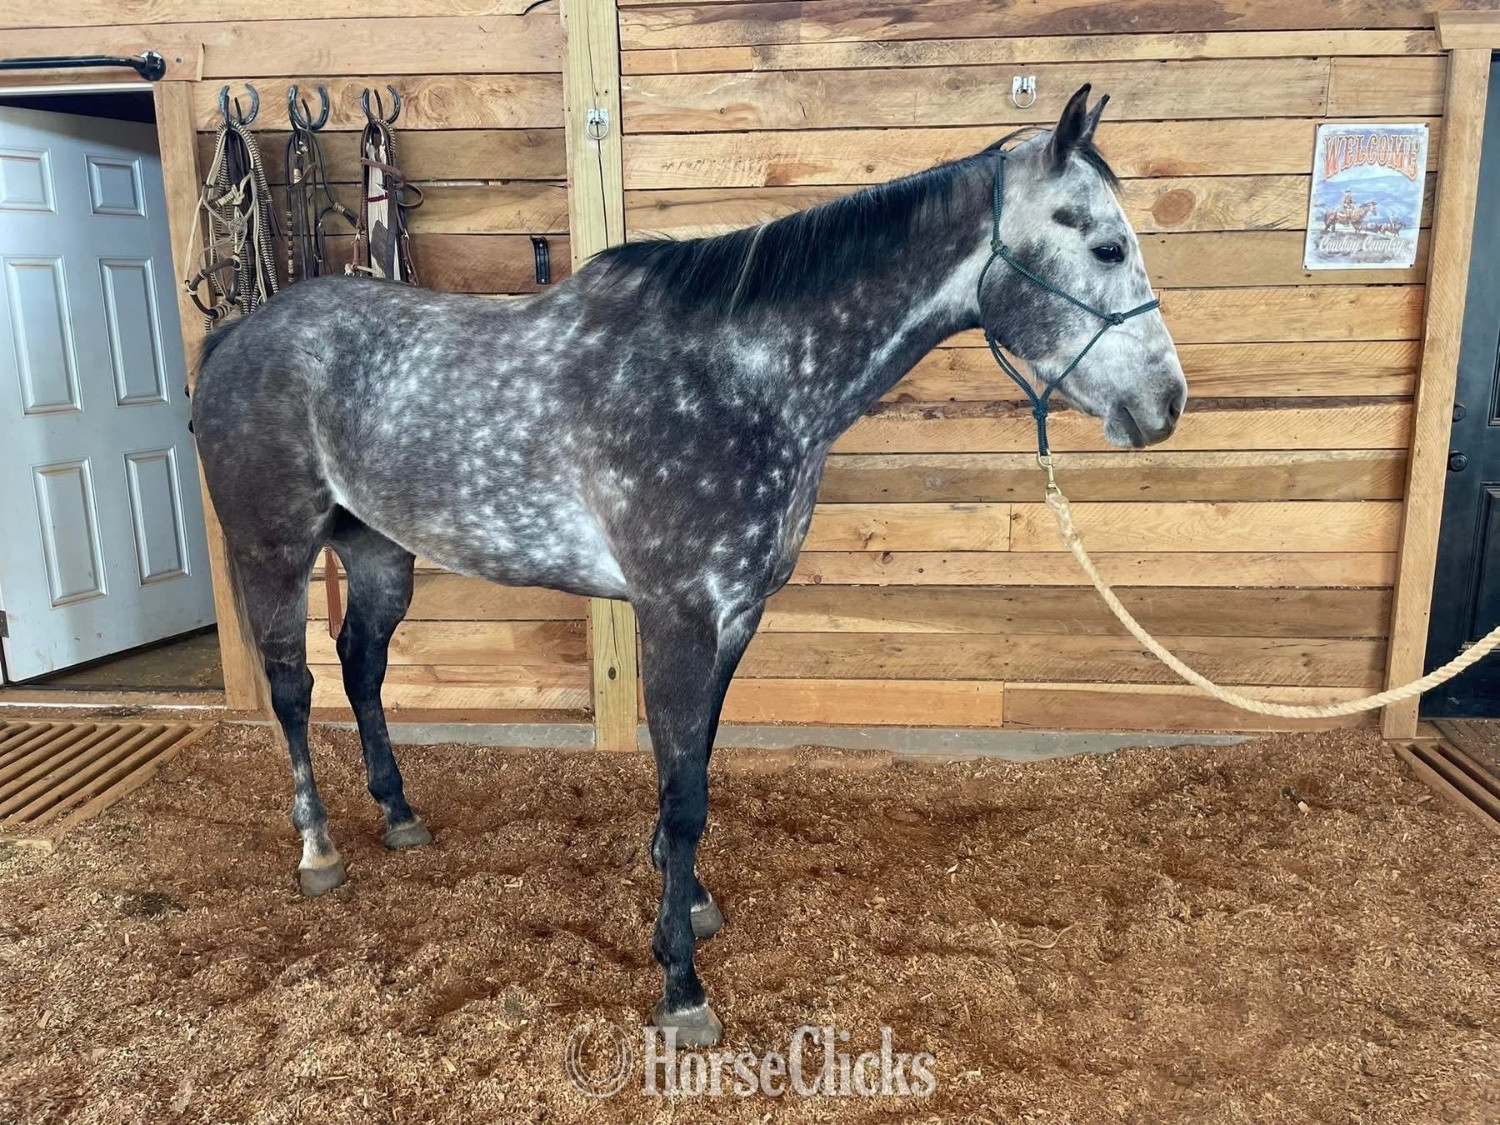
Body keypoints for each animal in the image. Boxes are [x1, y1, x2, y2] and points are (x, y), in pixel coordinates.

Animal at [191, 84, 1186, 1047]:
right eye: (1106, 245)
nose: (1166, 404)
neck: (740, 380)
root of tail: (235, 337)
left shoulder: (736, 613)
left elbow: (696, 763)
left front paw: (691, 902)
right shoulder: (676, 610)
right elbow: (681, 792)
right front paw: (680, 984)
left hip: (378, 551)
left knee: (361, 665)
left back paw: (399, 816)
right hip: (274, 549)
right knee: (293, 688)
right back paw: (319, 849)